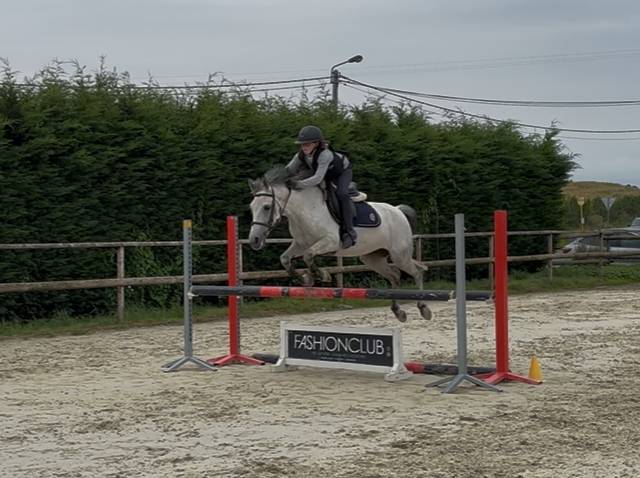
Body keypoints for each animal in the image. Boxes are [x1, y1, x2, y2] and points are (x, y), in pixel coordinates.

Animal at [247, 166, 431, 322]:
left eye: (266, 207)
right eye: (251, 207)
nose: (254, 240)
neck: (305, 210)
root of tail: (398, 210)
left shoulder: (331, 241)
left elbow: (308, 256)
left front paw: (322, 275)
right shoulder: (300, 244)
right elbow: (285, 259)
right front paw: (306, 278)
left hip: (399, 255)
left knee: (417, 271)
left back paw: (423, 308)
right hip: (373, 258)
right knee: (394, 275)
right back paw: (398, 311)